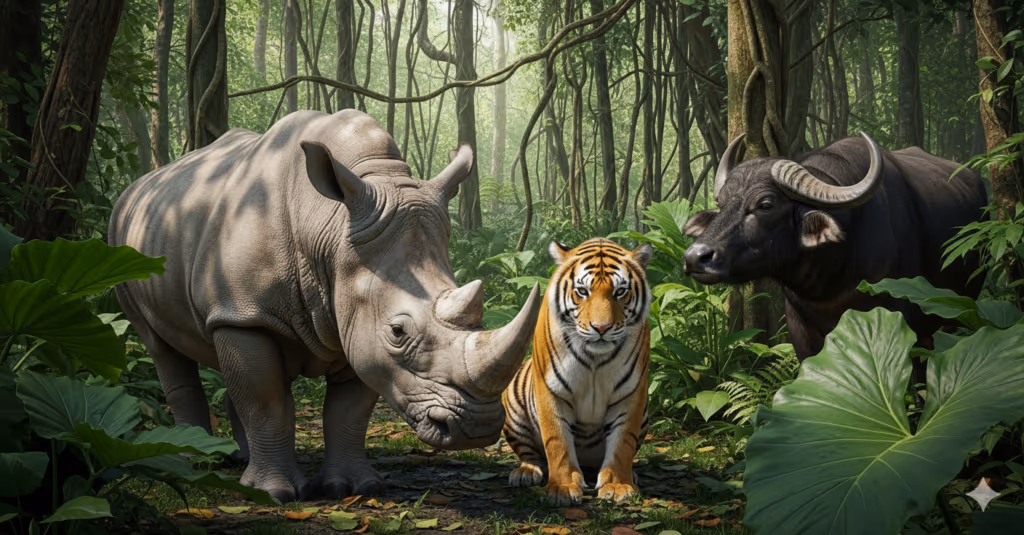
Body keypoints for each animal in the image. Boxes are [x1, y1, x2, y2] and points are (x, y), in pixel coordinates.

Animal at [501, 237, 653, 505]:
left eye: (620, 292)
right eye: (582, 291)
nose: (601, 328)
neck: (595, 359)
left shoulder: (632, 394)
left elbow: (623, 442)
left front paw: (617, 485)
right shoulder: (550, 390)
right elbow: (557, 442)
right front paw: (561, 489)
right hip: (513, 407)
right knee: (530, 453)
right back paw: (526, 472)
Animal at [682, 132, 987, 360]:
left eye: (765, 205)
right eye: (721, 203)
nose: (695, 257)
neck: (831, 281)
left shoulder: (911, 325)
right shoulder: (800, 331)